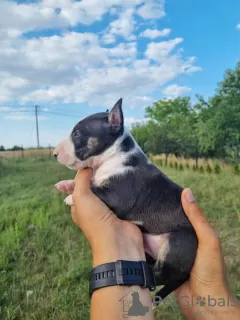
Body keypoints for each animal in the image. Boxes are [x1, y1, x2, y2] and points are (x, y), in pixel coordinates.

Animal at [54, 99, 197, 302]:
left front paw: (70, 197)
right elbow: (89, 183)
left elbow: (95, 190)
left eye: (77, 133)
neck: (114, 156)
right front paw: (66, 185)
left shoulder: (117, 194)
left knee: (162, 274)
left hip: (178, 242)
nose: (54, 153)